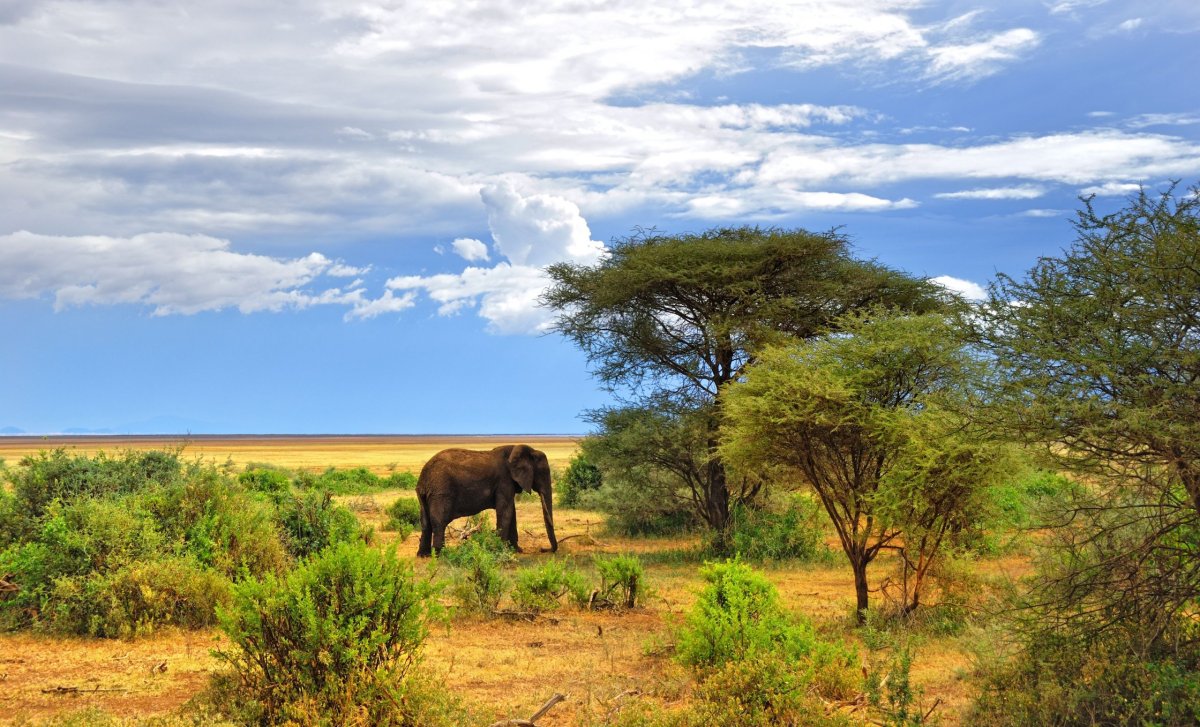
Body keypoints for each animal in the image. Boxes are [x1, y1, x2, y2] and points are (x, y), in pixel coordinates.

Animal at [417, 443, 556, 559]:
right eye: (543, 473)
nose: (543, 549)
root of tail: (424, 477)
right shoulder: (504, 481)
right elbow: (505, 512)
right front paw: (500, 550)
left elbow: (511, 512)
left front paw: (516, 550)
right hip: (441, 492)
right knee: (439, 522)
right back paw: (440, 555)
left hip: (425, 495)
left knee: (425, 522)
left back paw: (423, 555)